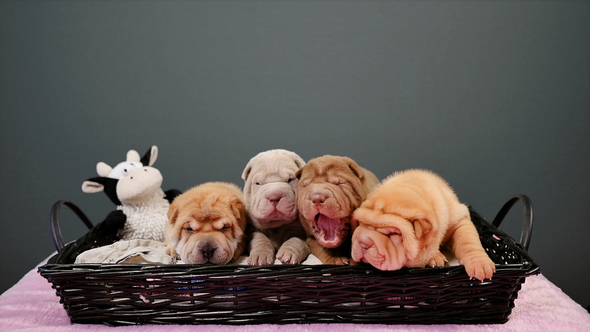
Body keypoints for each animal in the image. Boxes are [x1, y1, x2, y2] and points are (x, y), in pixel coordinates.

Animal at [354, 170, 498, 282]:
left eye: (393, 233)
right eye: (361, 224)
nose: (363, 243)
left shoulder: (458, 219)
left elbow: (467, 241)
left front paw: (480, 264)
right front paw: (434, 257)